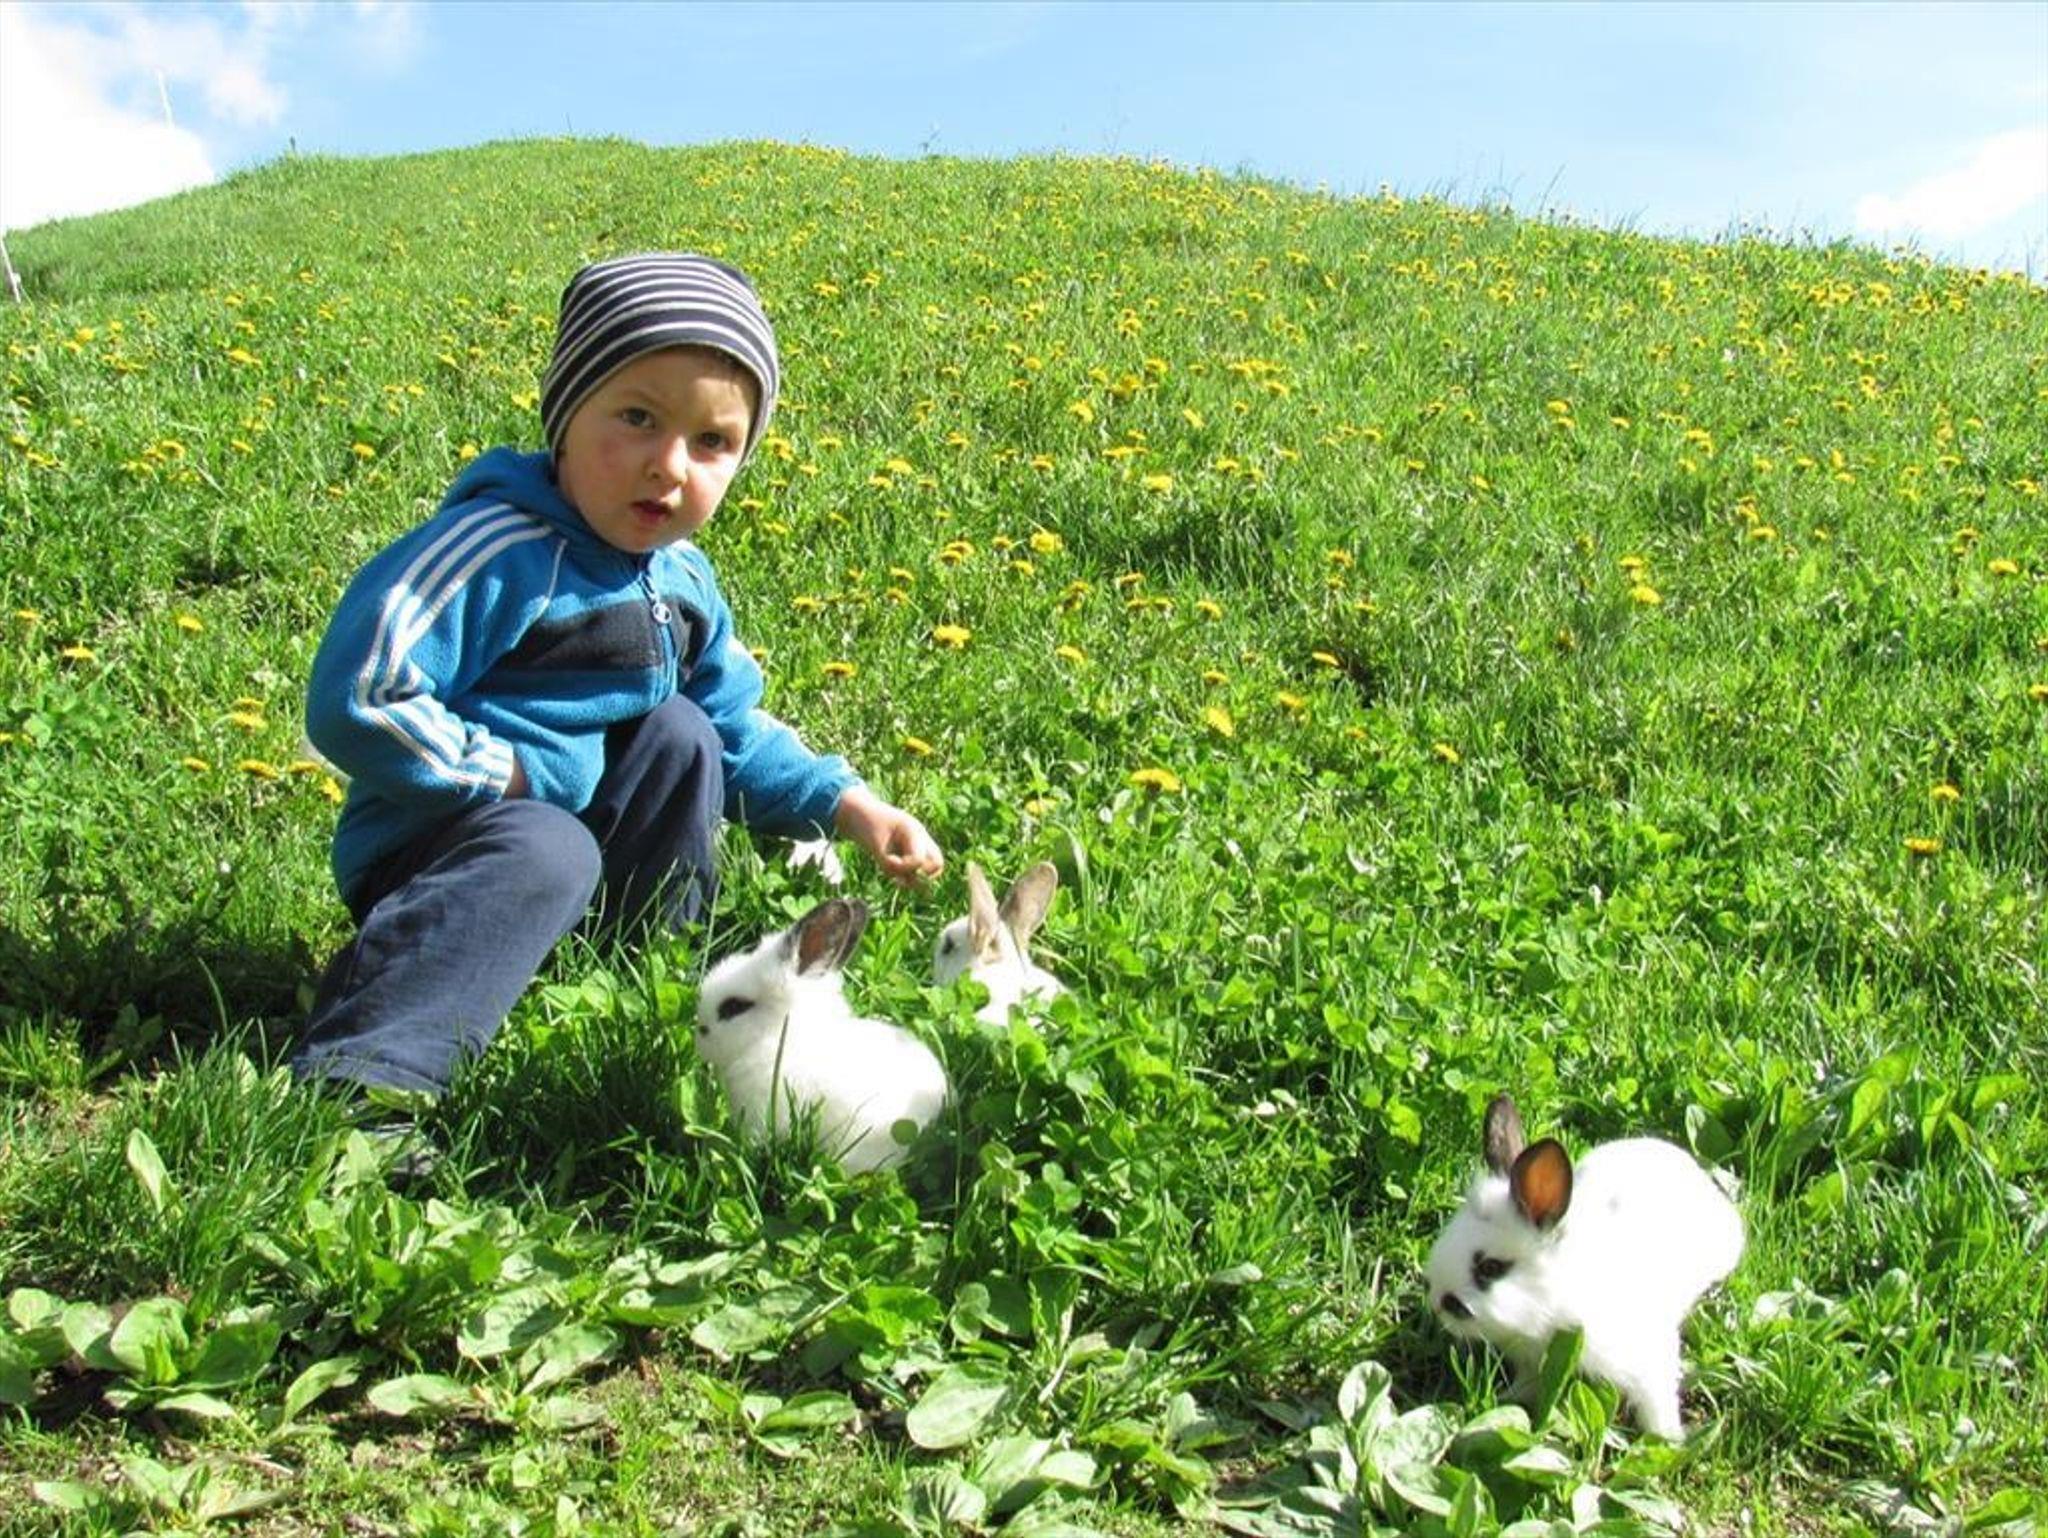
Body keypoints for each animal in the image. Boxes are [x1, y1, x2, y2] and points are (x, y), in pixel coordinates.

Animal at [1423, 1092, 1744, 1441]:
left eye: (1490, 1268)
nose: (1438, 1304)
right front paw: (1507, 1400)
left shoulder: (1648, 1358)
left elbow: (1656, 1402)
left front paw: (1668, 1439)